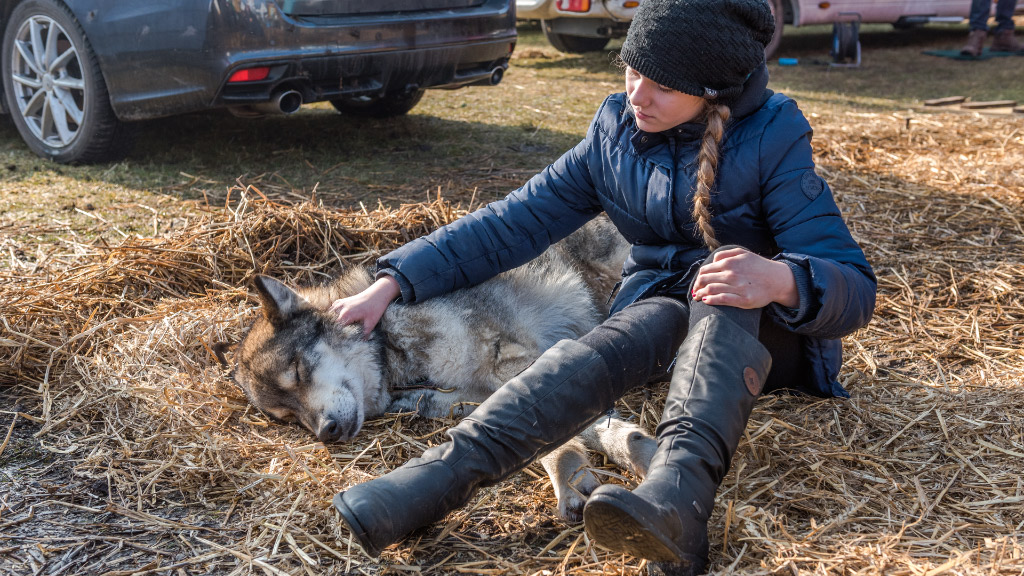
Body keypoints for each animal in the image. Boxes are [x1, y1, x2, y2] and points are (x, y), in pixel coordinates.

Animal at [229, 216, 657, 520]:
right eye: (288, 417)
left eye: (298, 371)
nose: (326, 433)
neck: (391, 344)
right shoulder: (478, 395)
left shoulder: (518, 362)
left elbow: (573, 430)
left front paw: (616, 459)